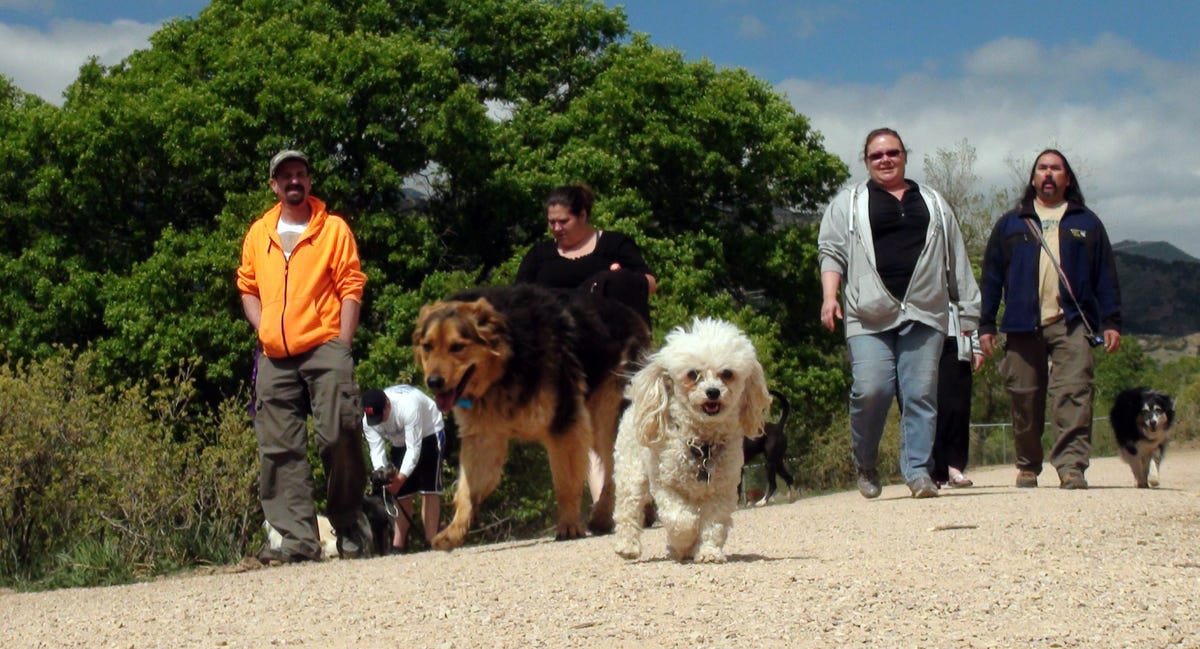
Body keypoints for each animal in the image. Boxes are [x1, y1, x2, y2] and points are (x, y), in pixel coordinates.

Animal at [417, 283, 652, 547]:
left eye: (457, 347)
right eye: (427, 347)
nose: (433, 382)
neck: (509, 357)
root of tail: (635, 318)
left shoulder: (564, 426)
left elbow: (565, 484)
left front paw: (569, 525)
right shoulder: (483, 439)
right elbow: (468, 491)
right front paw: (455, 531)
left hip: (607, 417)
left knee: (619, 469)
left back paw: (606, 514)